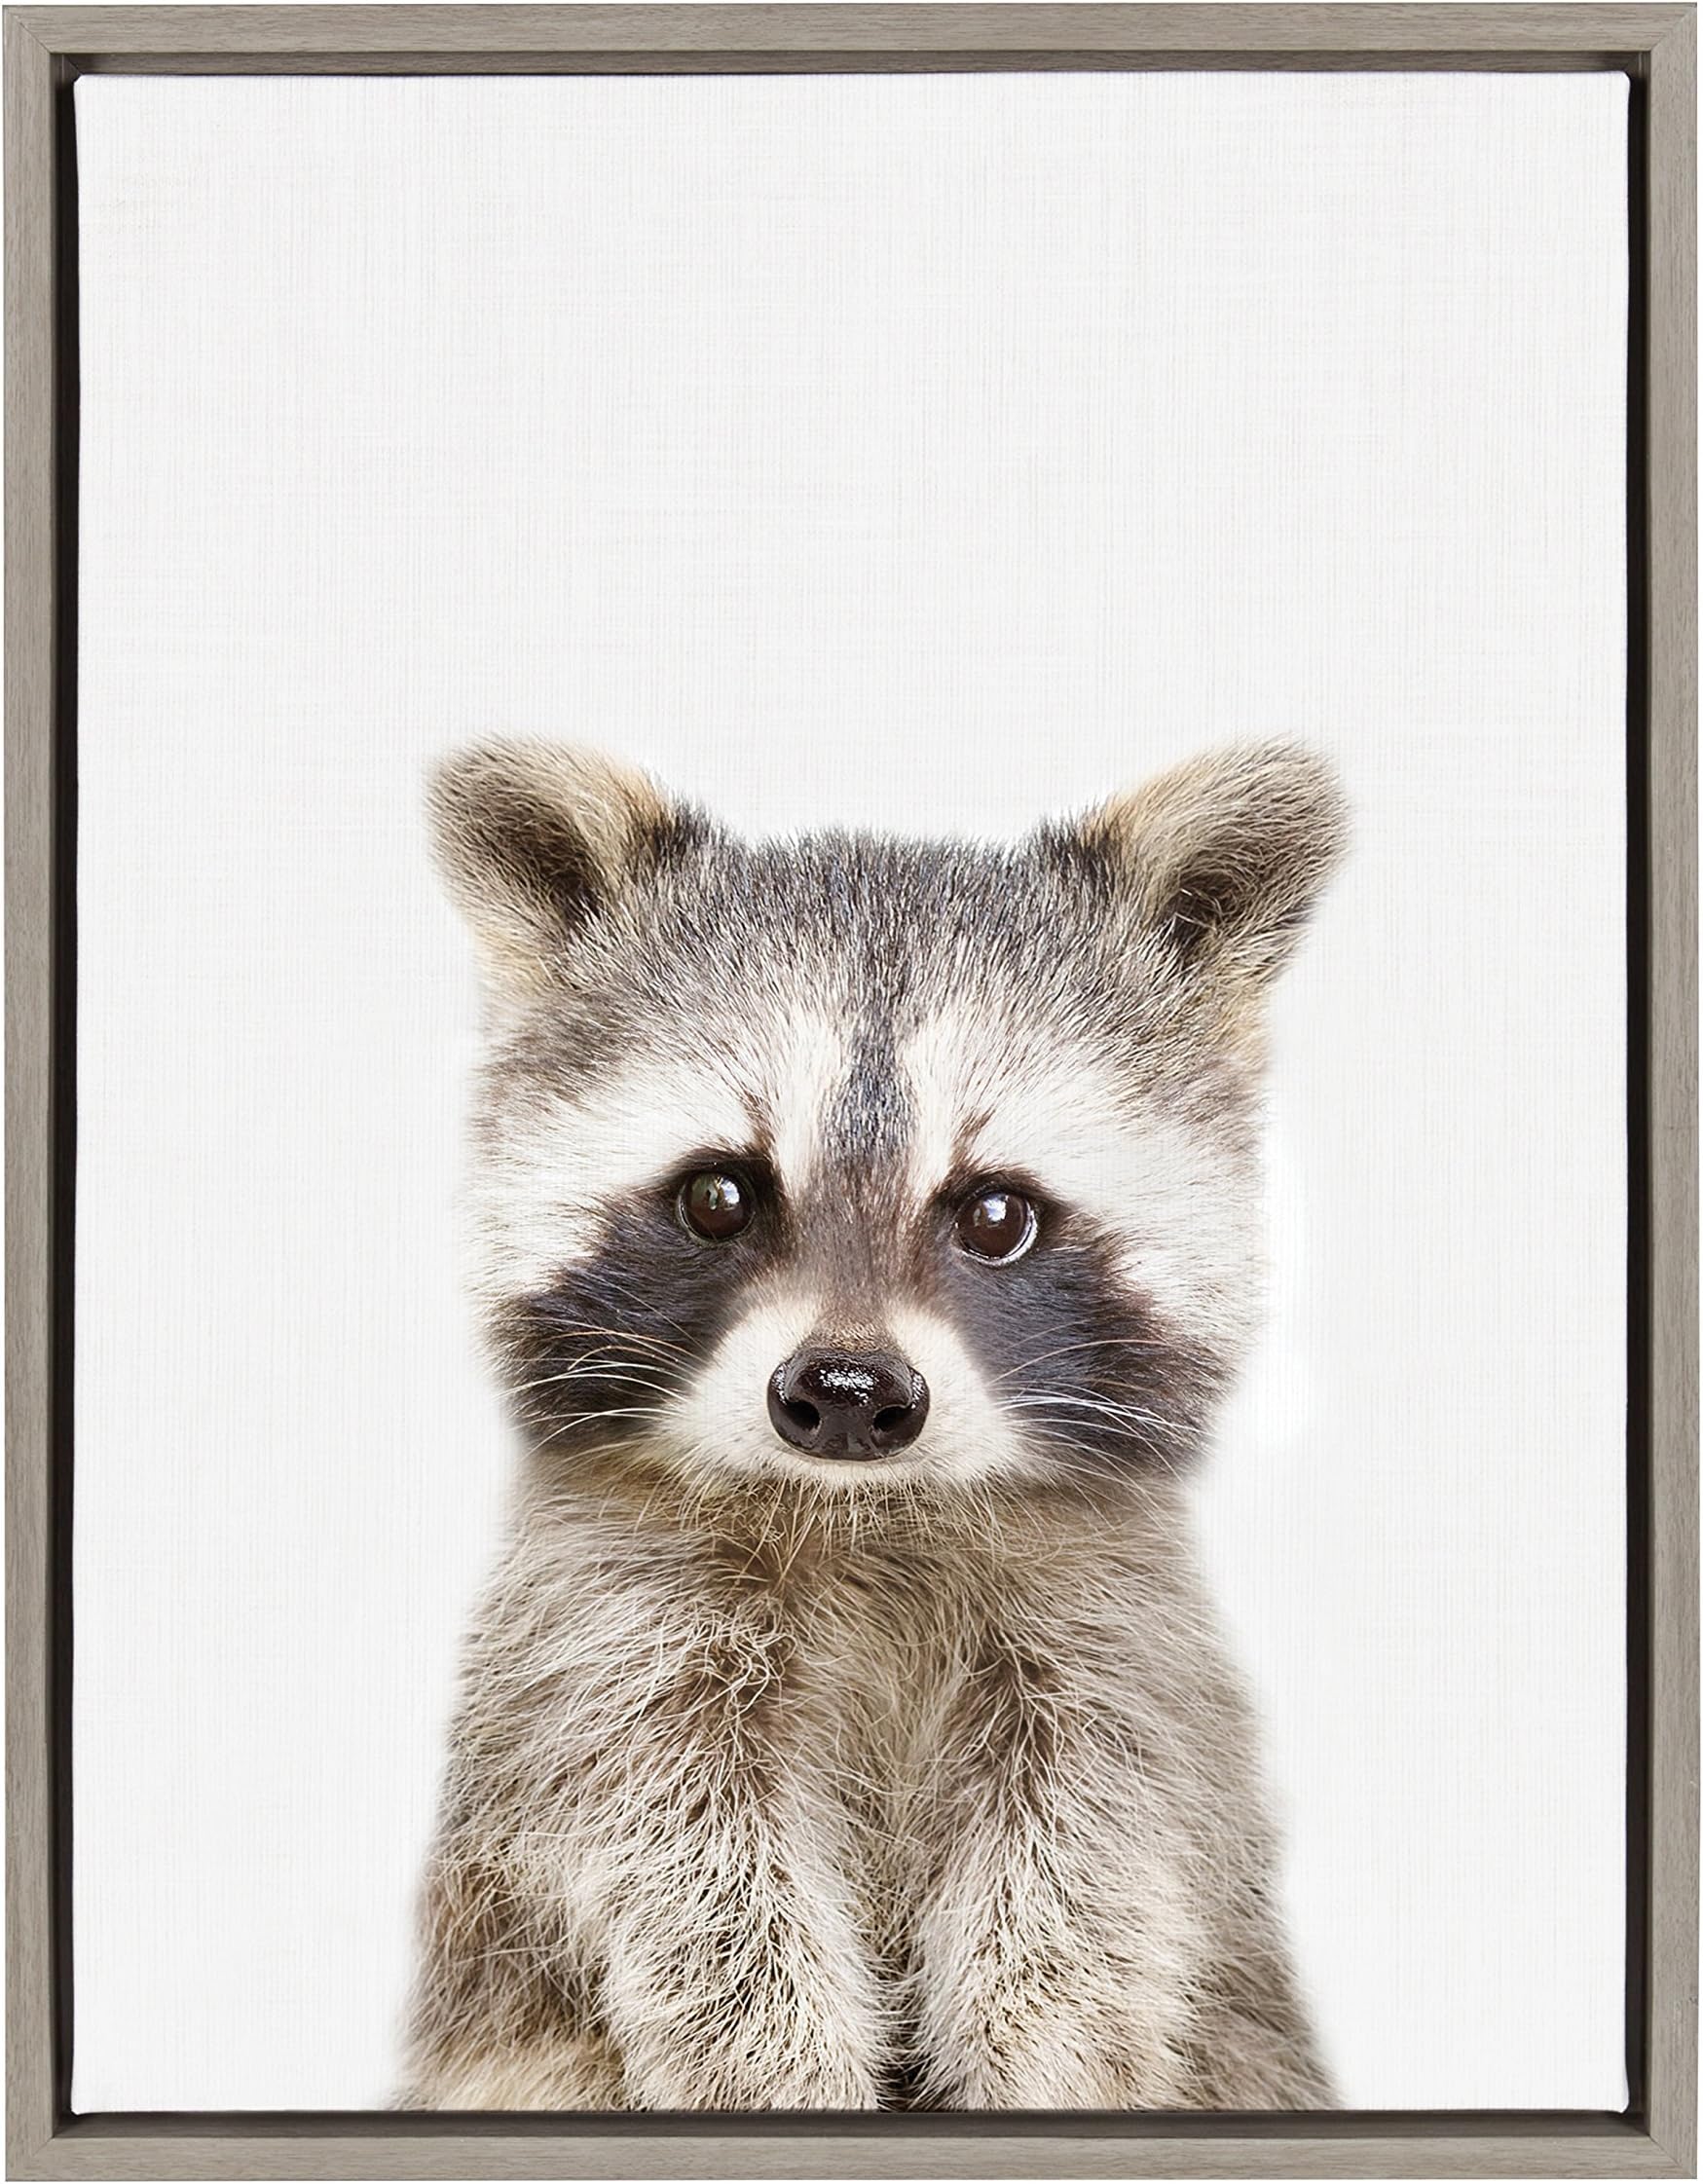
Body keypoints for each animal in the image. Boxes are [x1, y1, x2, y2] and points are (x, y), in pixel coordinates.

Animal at [400, 738, 1345, 2113]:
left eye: (997, 1212)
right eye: (719, 1194)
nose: (847, 1394)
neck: (865, 1514)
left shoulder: (1115, 1643)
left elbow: (1088, 1874)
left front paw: (1037, 2064)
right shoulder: (600, 1636)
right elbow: (685, 1867)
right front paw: (777, 2071)